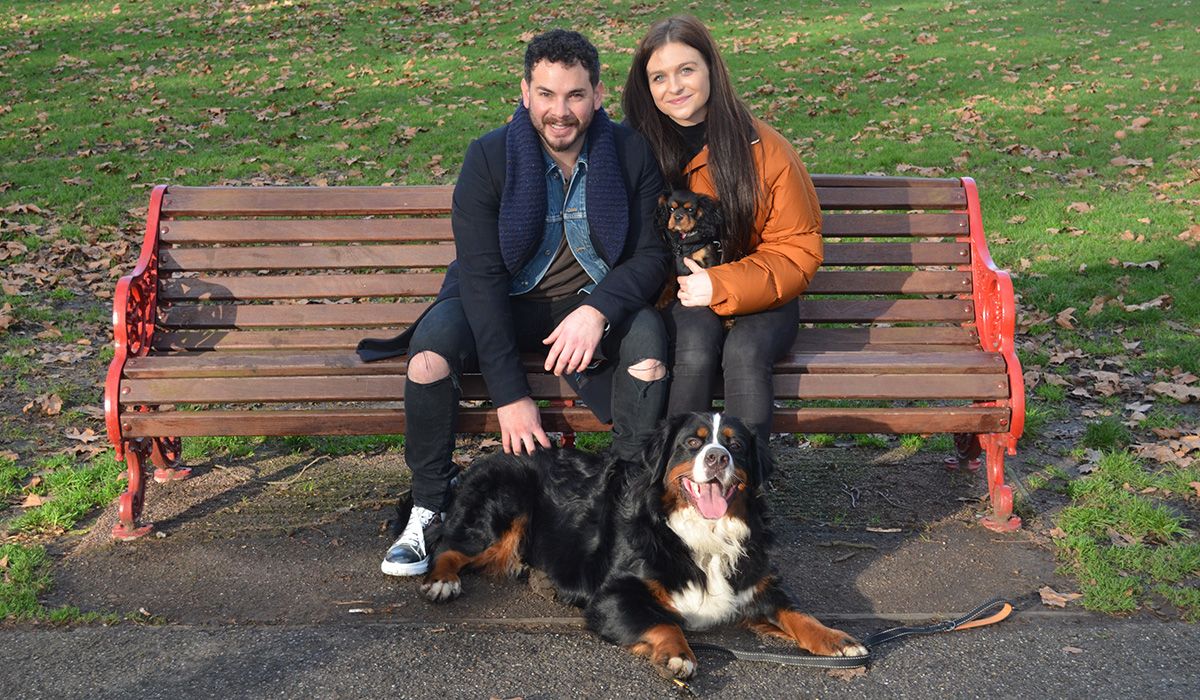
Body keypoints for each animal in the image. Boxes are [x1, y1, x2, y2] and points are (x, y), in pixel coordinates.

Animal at [422, 413, 864, 681]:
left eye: (736, 446)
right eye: (693, 444)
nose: (718, 458)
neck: (702, 534)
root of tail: (488, 458)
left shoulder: (755, 583)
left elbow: (797, 612)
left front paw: (839, 639)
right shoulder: (614, 596)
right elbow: (665, 623)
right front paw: (677, 654)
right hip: (502, 511)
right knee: (449, 546)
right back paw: (441, 581)